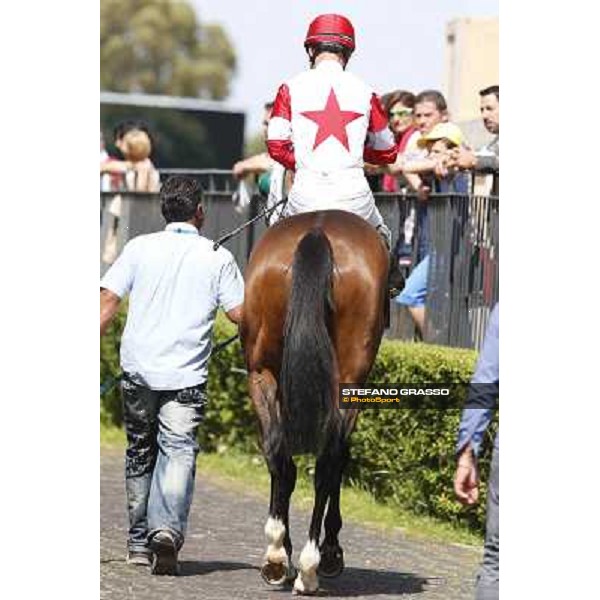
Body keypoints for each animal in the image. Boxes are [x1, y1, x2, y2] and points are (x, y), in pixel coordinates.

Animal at [239, 209, 390, 592]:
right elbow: (339, 459)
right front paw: (330, 552)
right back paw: (312, 564)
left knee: (278, 451)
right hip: (348, 381)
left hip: (261, 373)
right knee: (328, 460)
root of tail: (318, 231)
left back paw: (277, 556)